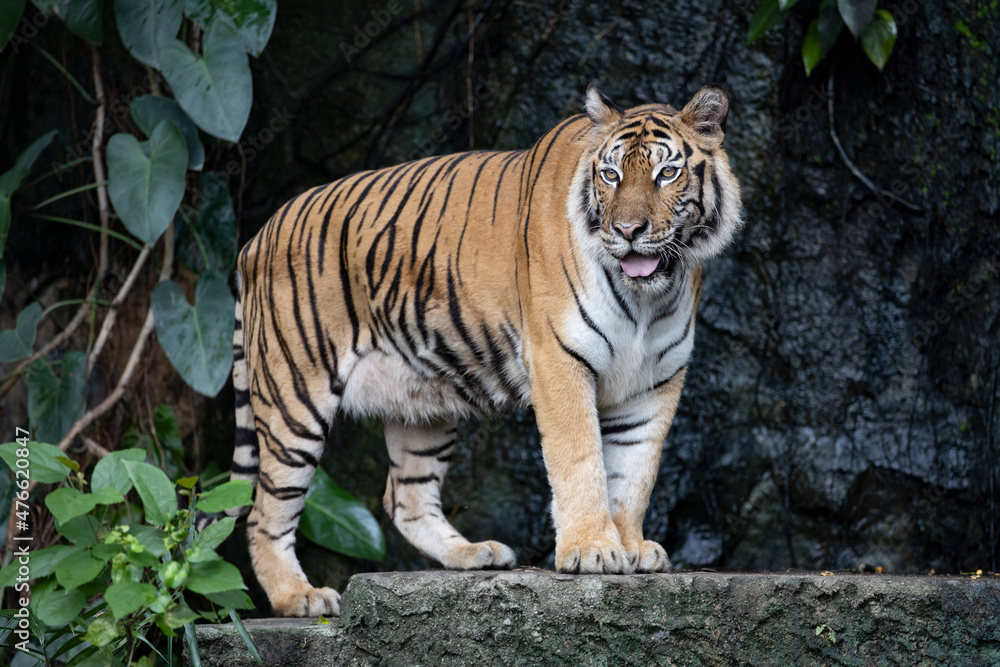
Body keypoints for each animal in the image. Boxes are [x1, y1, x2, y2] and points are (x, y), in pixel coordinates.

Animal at [226, 84, 742, 617]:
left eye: (667, 174)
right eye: (611, 175)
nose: (628, 231)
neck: (646, 299)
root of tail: (256, 238)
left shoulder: (657, 380)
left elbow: (636, 471)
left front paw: (633, 547)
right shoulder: (560, 361)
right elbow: (581, 459)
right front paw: (593, 550)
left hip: (421, 403)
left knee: (405, 499)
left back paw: (473, 554)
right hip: (294, 399)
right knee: (263, 513)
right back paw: (300, 596)